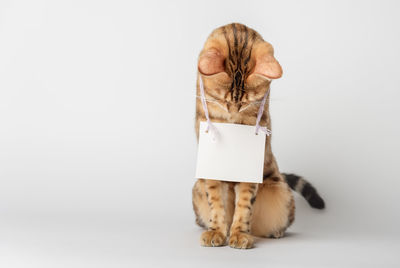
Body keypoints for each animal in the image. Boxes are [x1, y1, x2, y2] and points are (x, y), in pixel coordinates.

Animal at [191, 22, 324, 249]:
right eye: (223, 99)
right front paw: (216, 231)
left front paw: (239, 235)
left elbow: (244, 205)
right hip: (196, 189)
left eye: (246, 103)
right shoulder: (210, 166)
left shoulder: (252, 167)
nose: (233, 110)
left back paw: (273, 233)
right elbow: (216, 202)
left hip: (280, 191)